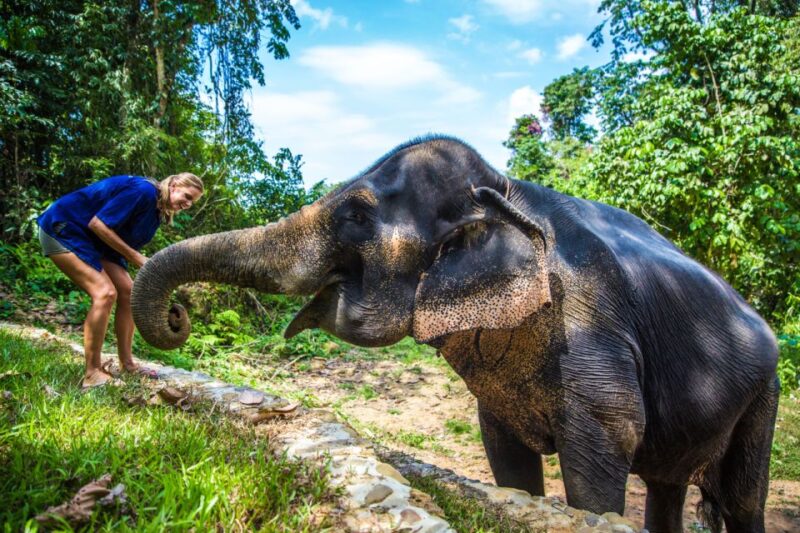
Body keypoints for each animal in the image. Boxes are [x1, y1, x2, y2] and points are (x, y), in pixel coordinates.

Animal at [131, 136, 779, 533]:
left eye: (356, 215)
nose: (178, 316)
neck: (508, 189)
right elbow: (507, 458)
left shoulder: (593, 324)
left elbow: (604, 447)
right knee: (668, 488)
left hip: (765, 393)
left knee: (743, 498)